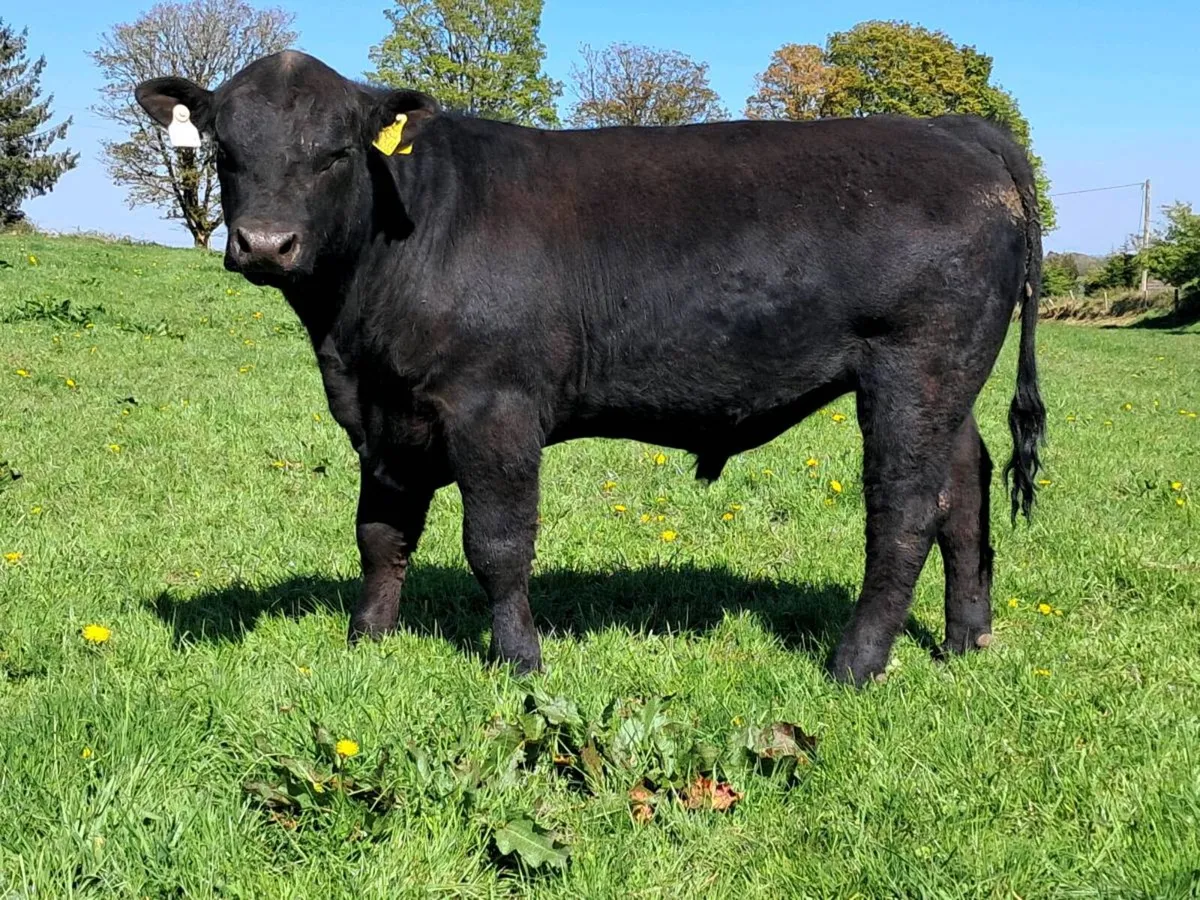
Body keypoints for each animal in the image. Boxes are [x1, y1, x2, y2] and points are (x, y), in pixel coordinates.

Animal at [135, 50, 1046, 687]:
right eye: (224, 148)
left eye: (334, 153)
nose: (265, 244)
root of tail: (954, 127)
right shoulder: (385, 417)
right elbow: (380, 535)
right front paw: (367, 641)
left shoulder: (493, 406)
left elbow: (497, 544)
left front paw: (518, 660)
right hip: (947, 380)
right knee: (964, 493)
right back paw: (967, 639)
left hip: (911, 366)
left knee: (904, 513)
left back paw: (855, 665)